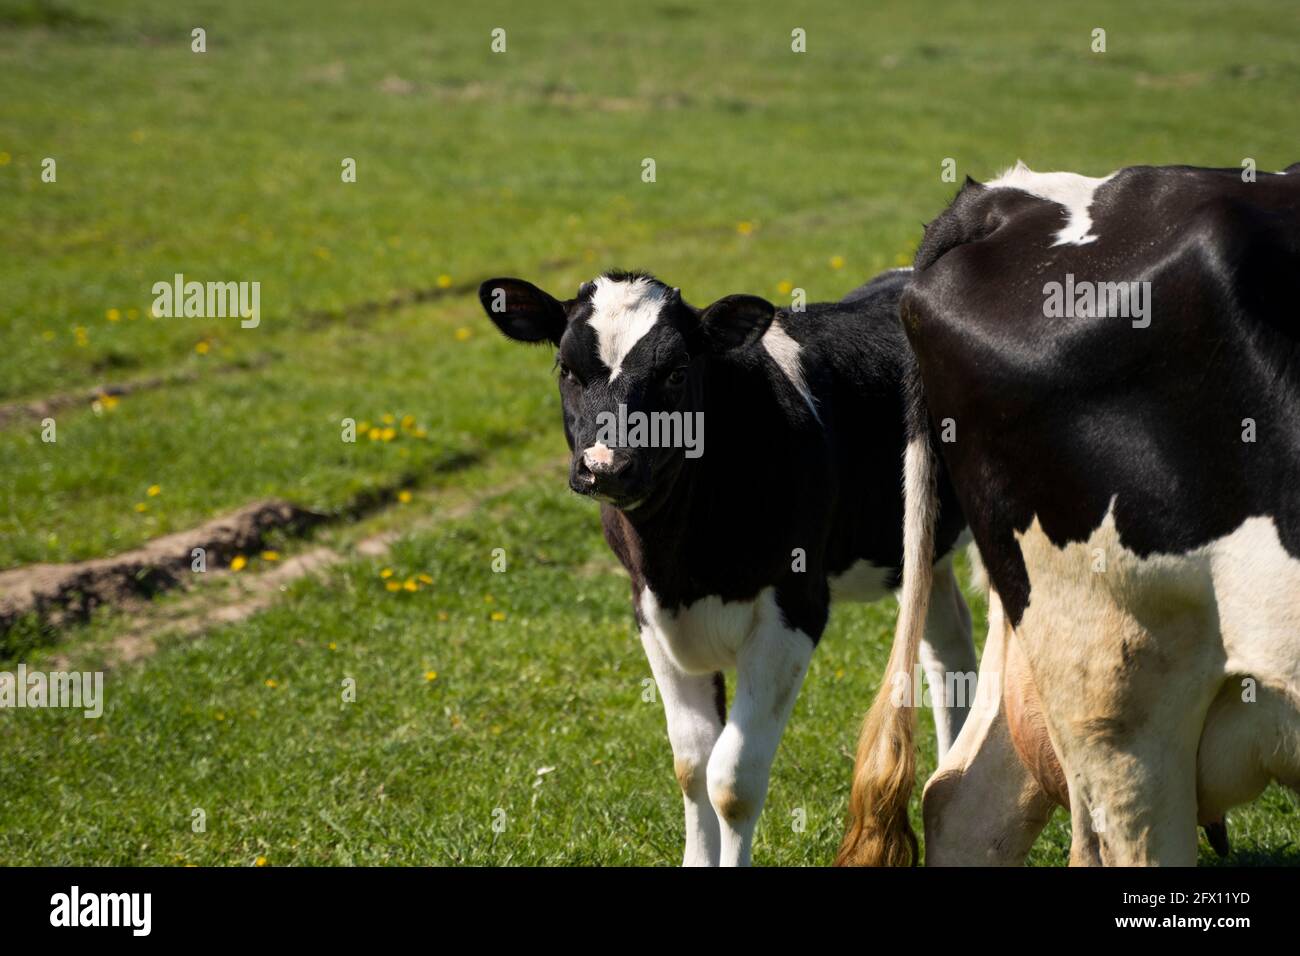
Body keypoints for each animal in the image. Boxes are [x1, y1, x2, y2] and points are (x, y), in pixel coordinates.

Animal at [478, 267, 977, 866]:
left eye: (675, 371)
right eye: (567, 369)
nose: (607, 467)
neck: (684, 562)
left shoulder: (795, 607)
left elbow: (732, 782)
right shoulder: (650, 609)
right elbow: (692, 765)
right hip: (918, 550)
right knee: (947, 651)